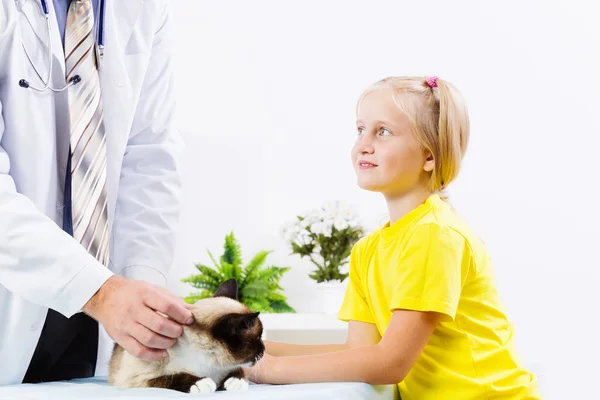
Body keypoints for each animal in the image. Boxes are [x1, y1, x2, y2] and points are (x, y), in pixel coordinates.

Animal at [107, 278, 264, 394]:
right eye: (258, 338)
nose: (263, 351)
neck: (207, 361)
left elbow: (238, 370)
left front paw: (235, 382)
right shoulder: (139, 379)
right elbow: (171, 378)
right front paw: (202, 383)